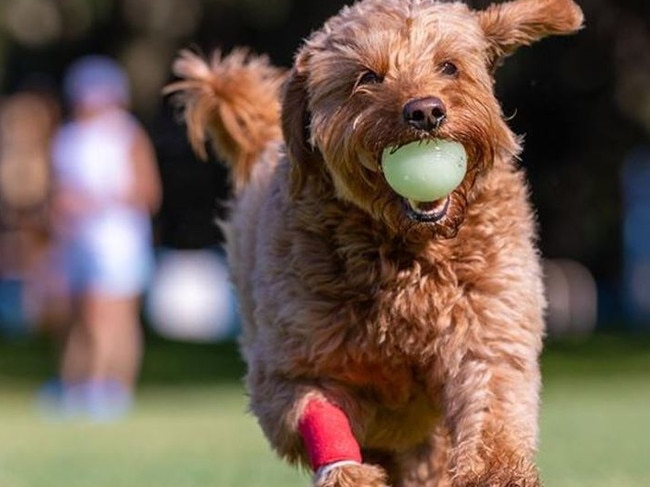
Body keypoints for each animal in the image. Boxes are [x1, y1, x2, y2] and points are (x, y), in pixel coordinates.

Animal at [166, 0, 584, 487]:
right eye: (367, 76)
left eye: (449, 66)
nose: (426, 112)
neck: (408, 252)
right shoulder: (296, 364)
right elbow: (318, 410)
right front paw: (348, 473)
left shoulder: (488, 326)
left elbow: (492, 402)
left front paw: (495, 472)